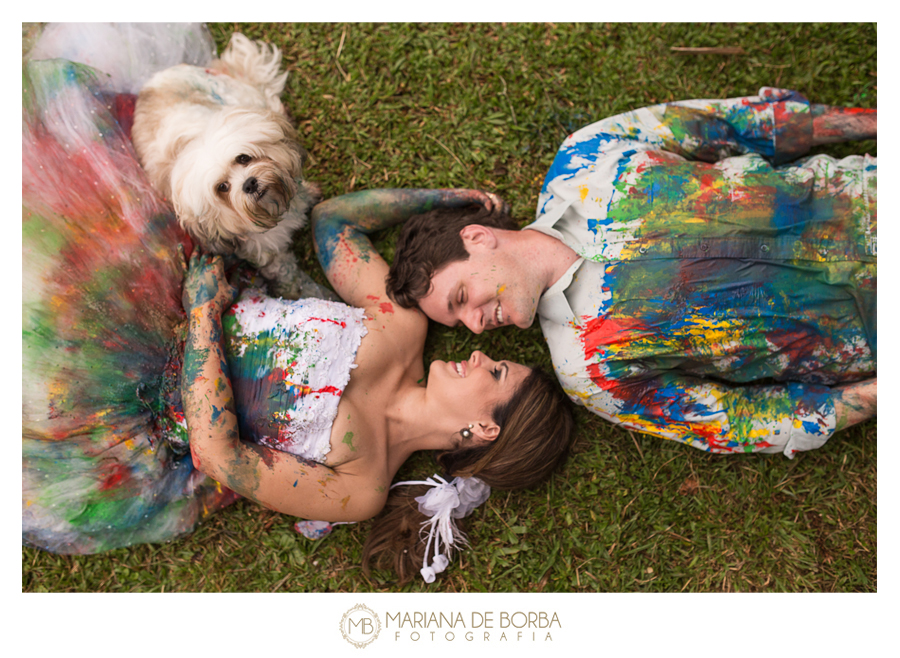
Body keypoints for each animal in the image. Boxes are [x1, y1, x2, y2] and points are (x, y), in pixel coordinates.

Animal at [132, 32, 318, 296]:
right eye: (222, 187)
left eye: (243, 158)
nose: (249, 184)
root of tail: (155, 79)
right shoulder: (266, 250)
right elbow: (285, 270)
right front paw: (296, 291)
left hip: (239, 95)